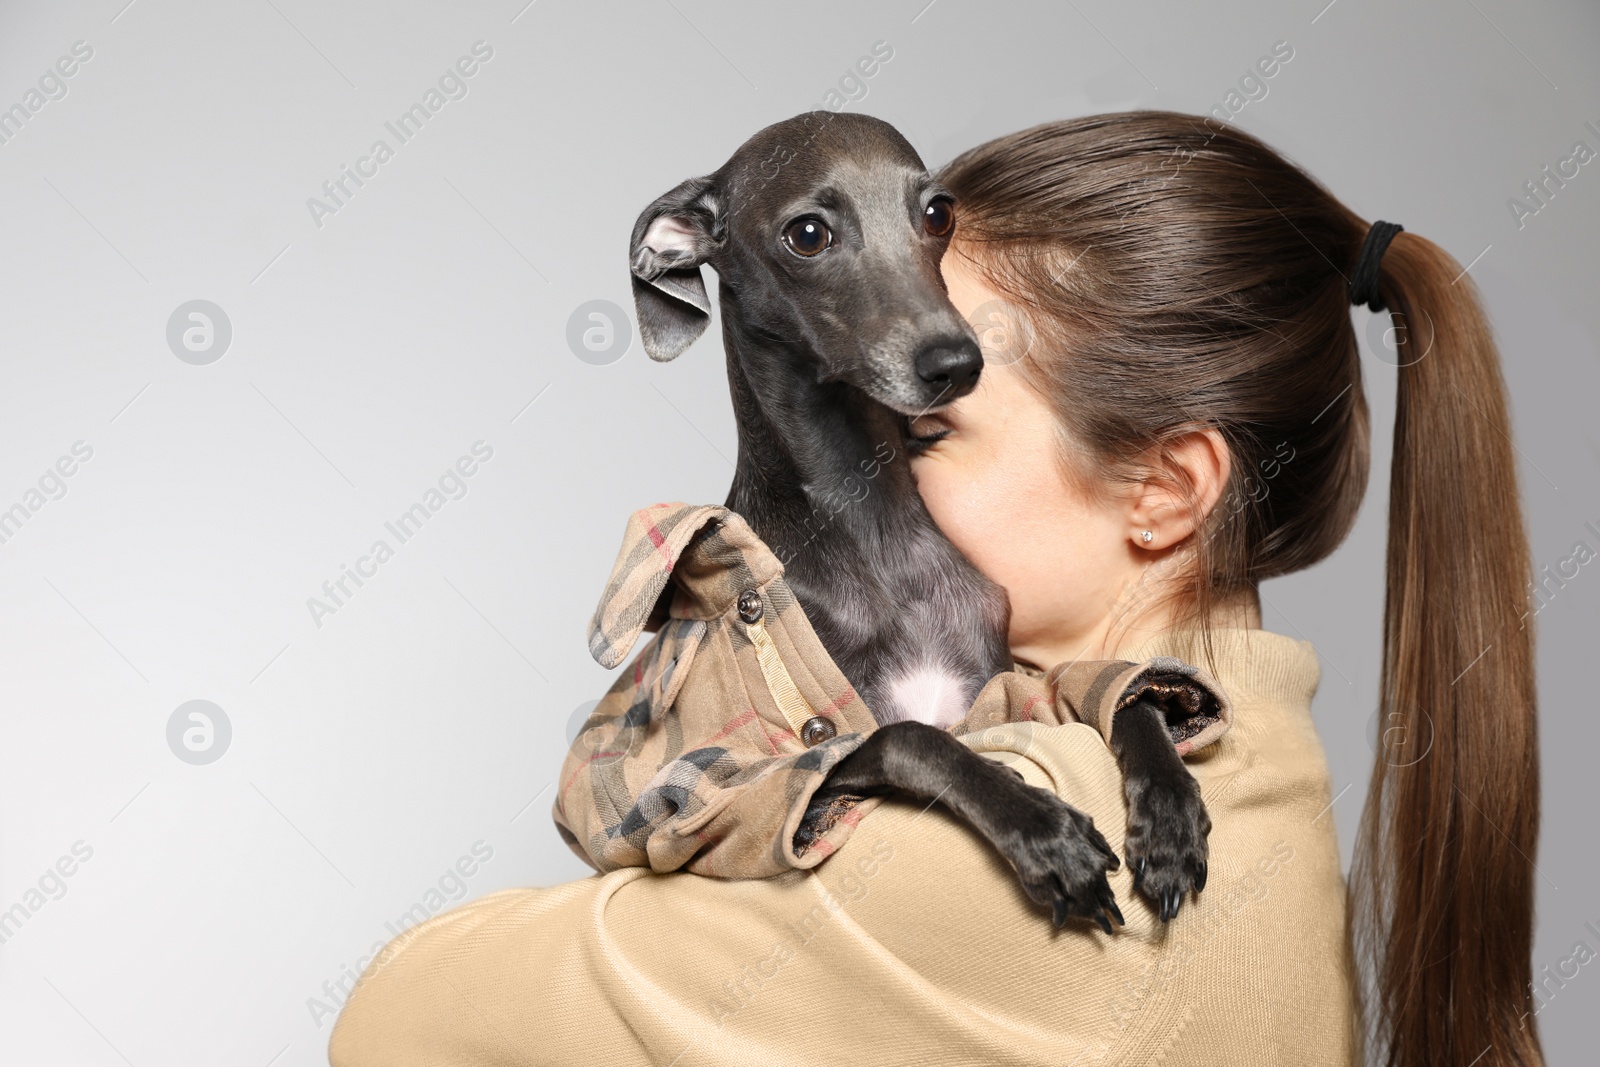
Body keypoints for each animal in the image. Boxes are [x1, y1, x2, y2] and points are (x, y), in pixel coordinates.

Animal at [617, 108, 1203, 927]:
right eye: (807, 234)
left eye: (937, 212)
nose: (955, 361)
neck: (879, 530)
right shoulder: (756, 776)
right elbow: (907, 736)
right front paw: (1042, 828)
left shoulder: (998, 681)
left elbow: (1123, 697)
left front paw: (1171, 814)